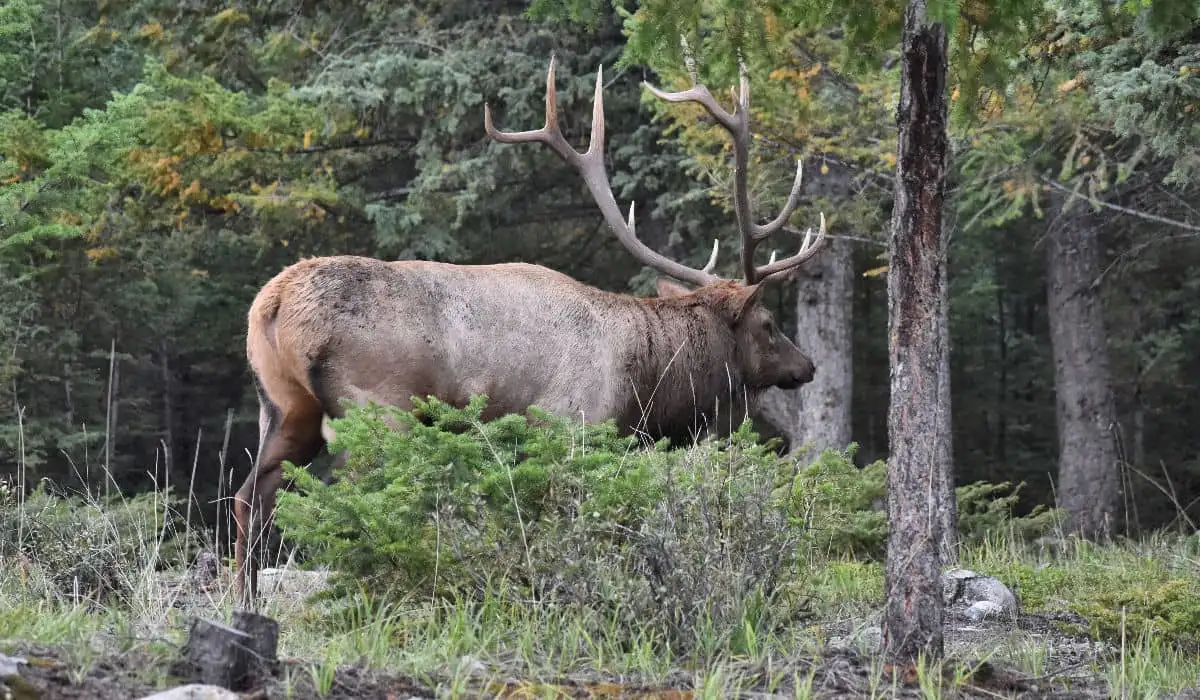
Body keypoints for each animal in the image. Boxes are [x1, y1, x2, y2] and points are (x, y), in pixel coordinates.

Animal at [232, 55, 827, 606]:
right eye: (769, 324)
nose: (808, 364)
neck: (642, 381)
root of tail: (272, 303)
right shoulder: (570, 423)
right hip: (378, 407)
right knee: (354, 498)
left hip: (284, 406)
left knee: (248, 496)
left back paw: (244, 600)